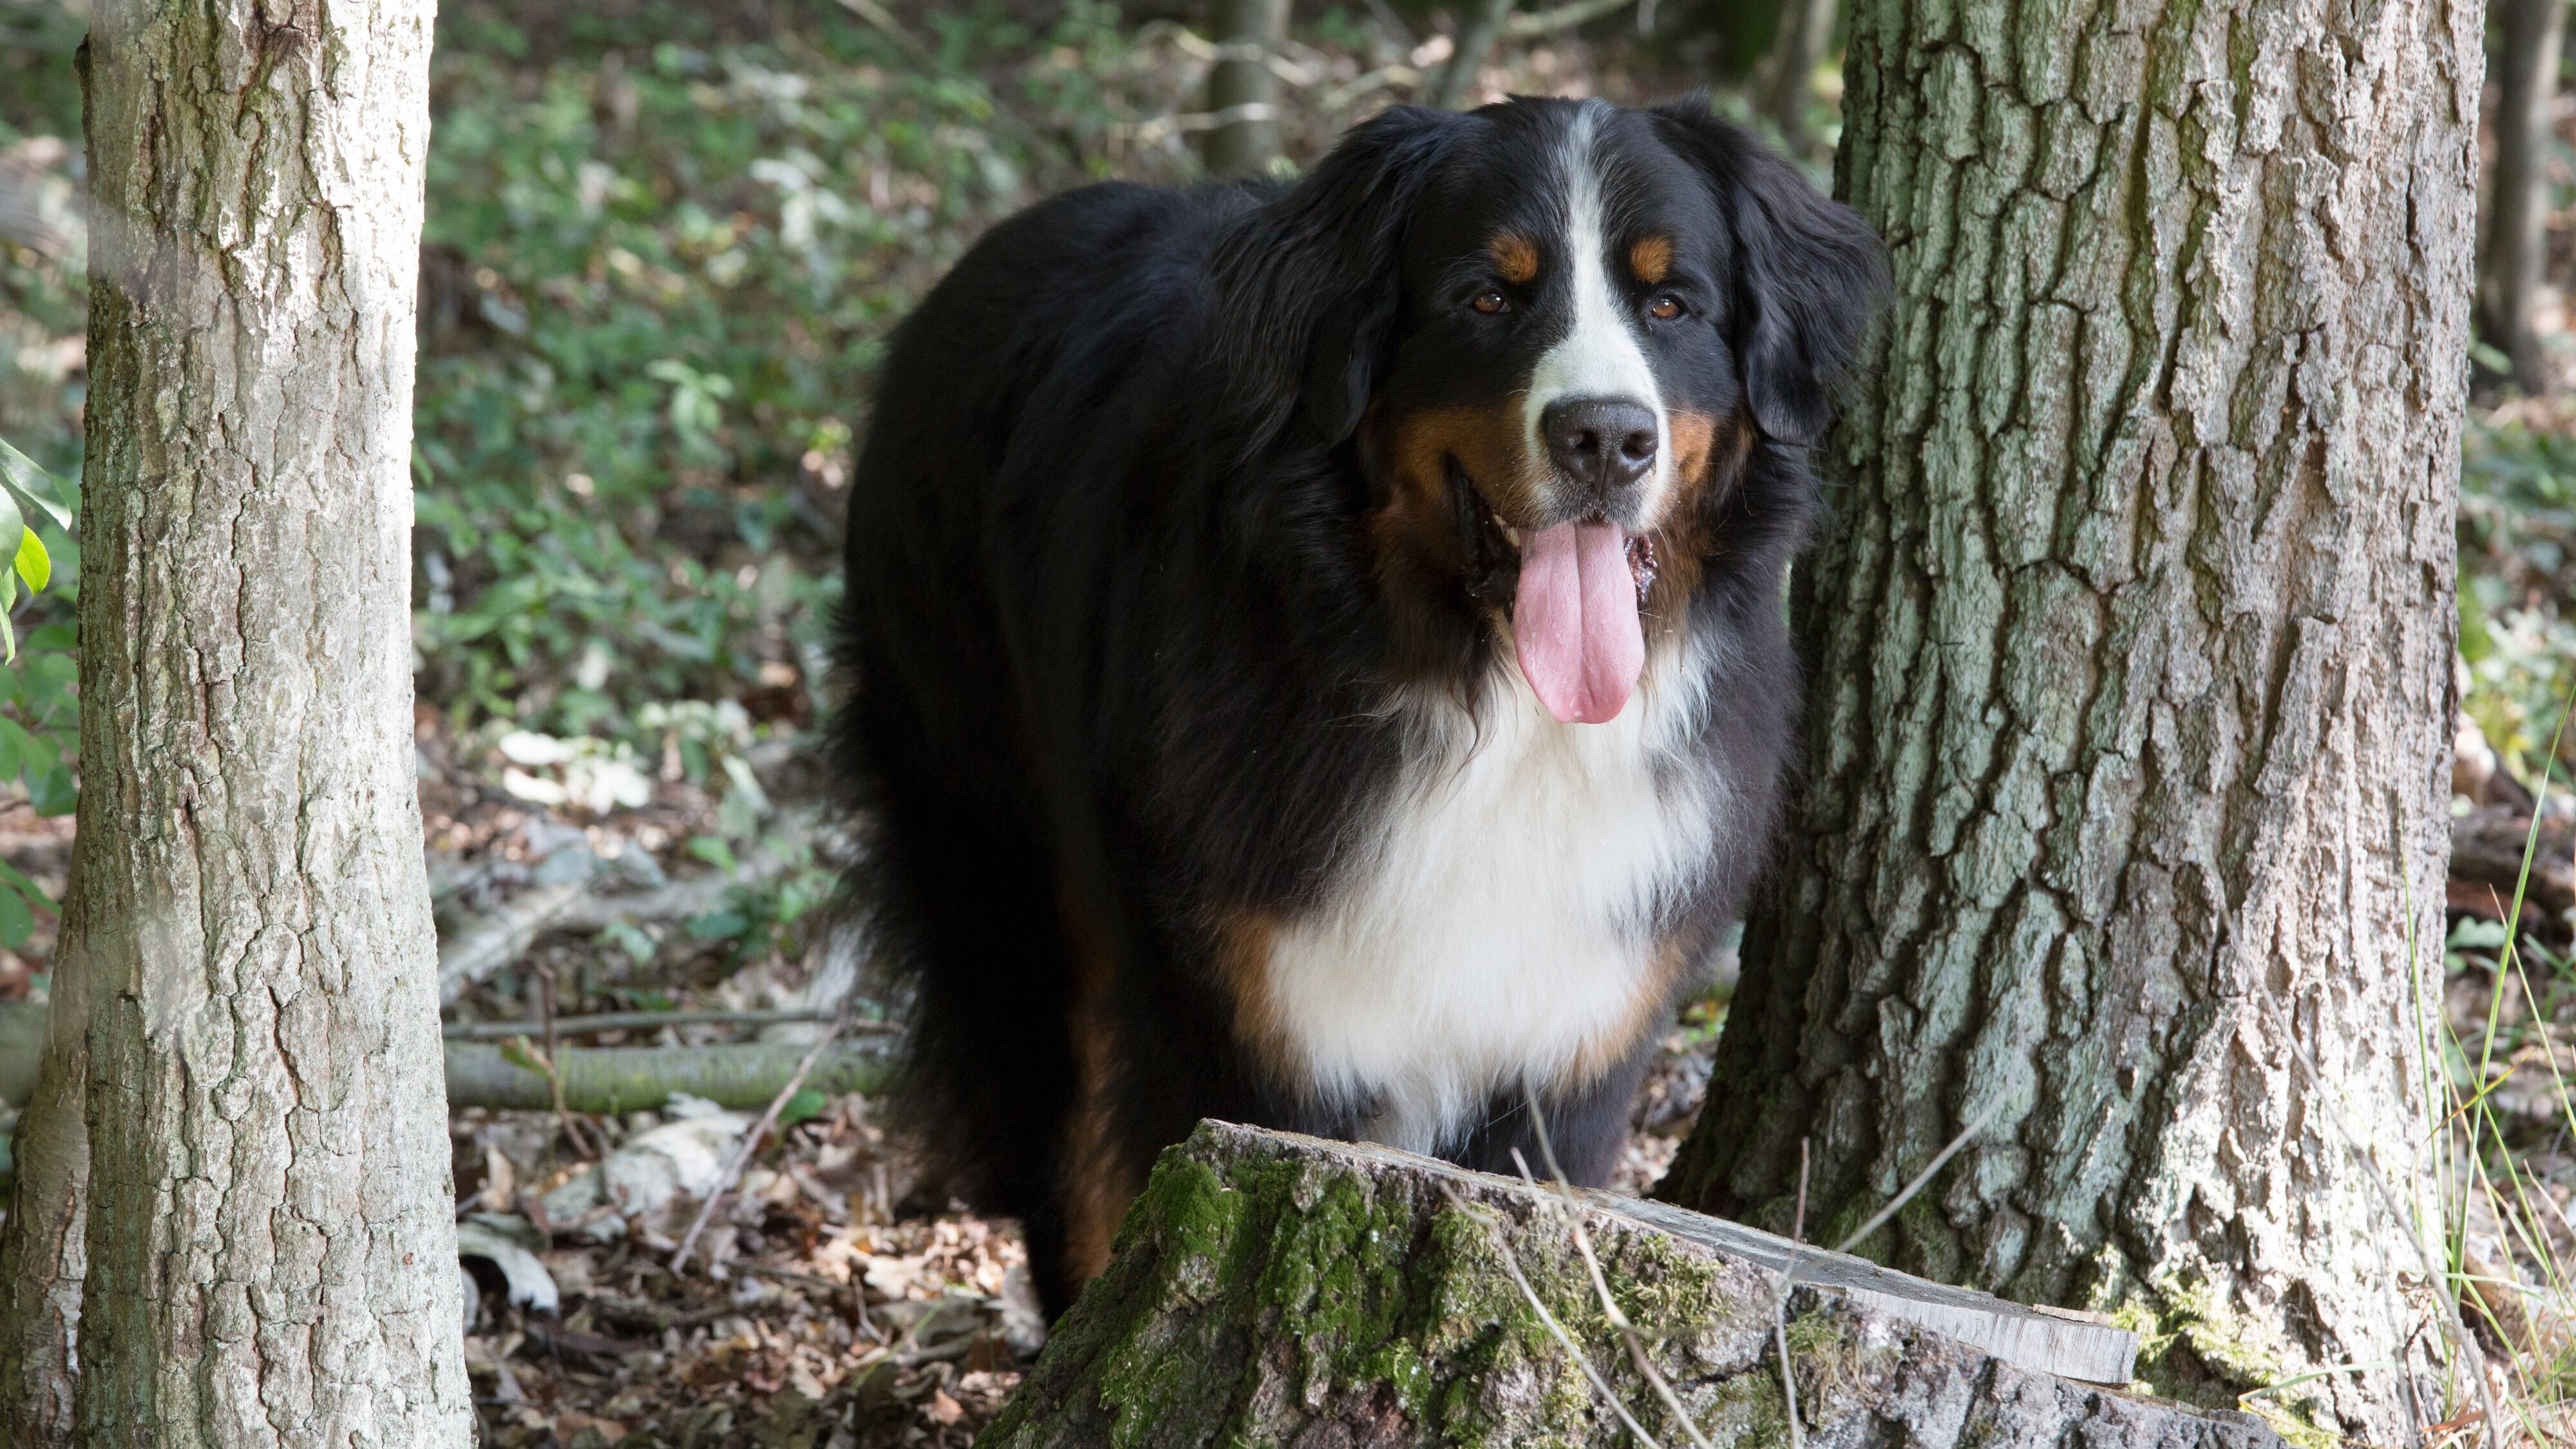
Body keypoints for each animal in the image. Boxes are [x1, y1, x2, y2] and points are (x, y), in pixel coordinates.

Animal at [835, 90, 1886, 1309]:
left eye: (1672, 303)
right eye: (1487, 297)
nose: (1608, 438)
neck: (1490, 705)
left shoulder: (1572, 1047)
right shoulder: (1249, 1027)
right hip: (1002, 867)